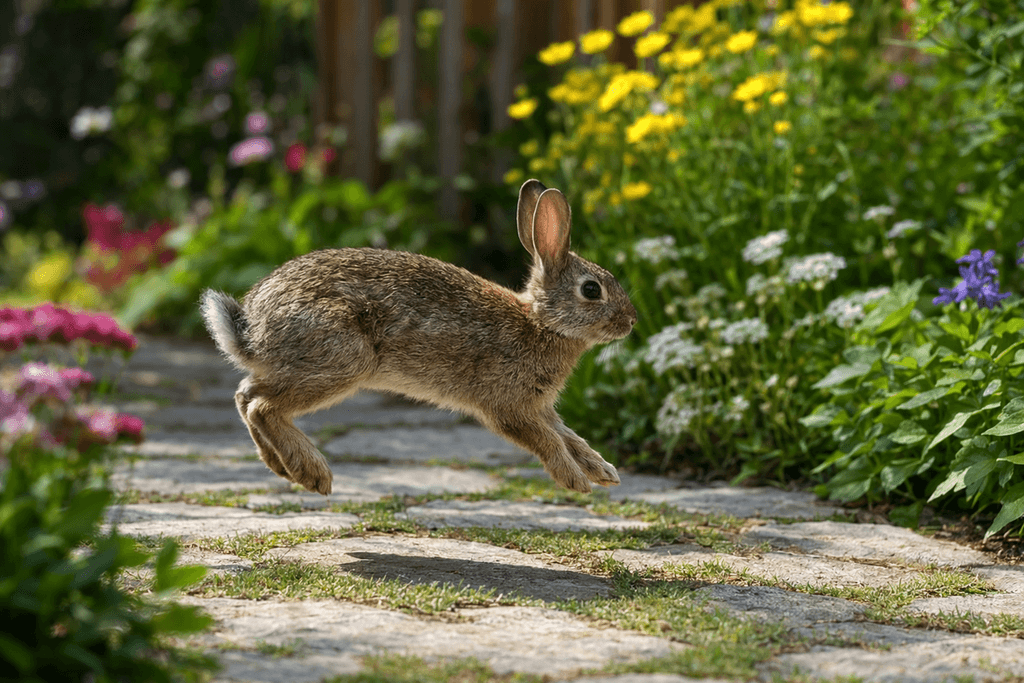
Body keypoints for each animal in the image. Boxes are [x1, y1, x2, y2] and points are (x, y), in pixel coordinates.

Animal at [200, 179, 637, 495]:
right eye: (592, 290)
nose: (631, 321)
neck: (540, 322)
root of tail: (252, 327)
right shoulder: (508, 407)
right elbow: (548, 442)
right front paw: (574, 481)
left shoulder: (541, 407)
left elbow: (570, 437)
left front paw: (604, 472)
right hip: (341, 359)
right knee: (262, 406)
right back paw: (312, 473)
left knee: (245, 395)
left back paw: (280, 466)